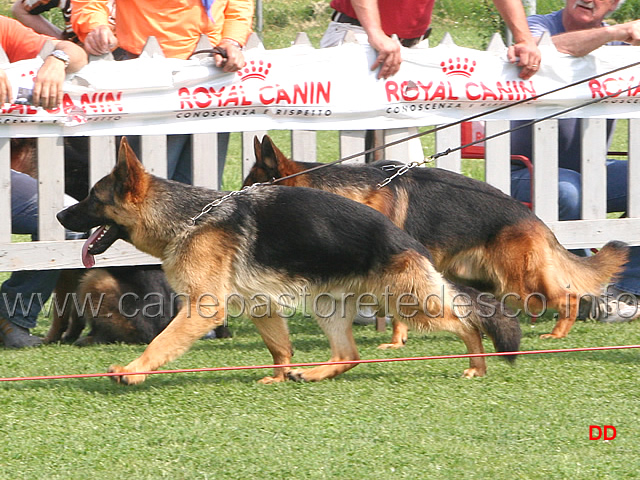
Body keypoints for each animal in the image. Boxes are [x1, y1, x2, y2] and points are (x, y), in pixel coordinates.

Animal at [57, 137, 524, 384]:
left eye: (92, 199)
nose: (60, 217)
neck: (187, 217)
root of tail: (404, 238)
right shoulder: (260, 304)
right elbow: (279, 346)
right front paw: (281, 375)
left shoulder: (203, 308)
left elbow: (160, 343)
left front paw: (134, 371)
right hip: (328, 307)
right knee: (349, 355)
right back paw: (313, 374)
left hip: (408, 302)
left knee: (467, 322)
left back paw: (477, 365)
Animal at [245, 135, 632, 344]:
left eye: (250, 189)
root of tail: (534, 218)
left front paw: (395, 340)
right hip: (481, 277)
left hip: (516, 282)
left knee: (567, 297)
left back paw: (557, 334)